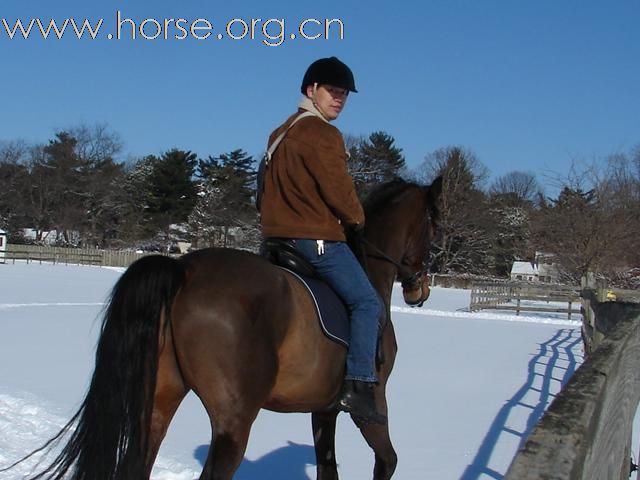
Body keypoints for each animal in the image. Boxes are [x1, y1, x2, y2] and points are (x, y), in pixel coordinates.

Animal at [18, 177, 440, 480]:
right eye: (432, 226)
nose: (420, 289)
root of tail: (183, 268)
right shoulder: (370, 403)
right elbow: (387, 461)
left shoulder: (324, 410)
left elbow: (328, 469)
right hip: (233, 422)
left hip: (159, 403)